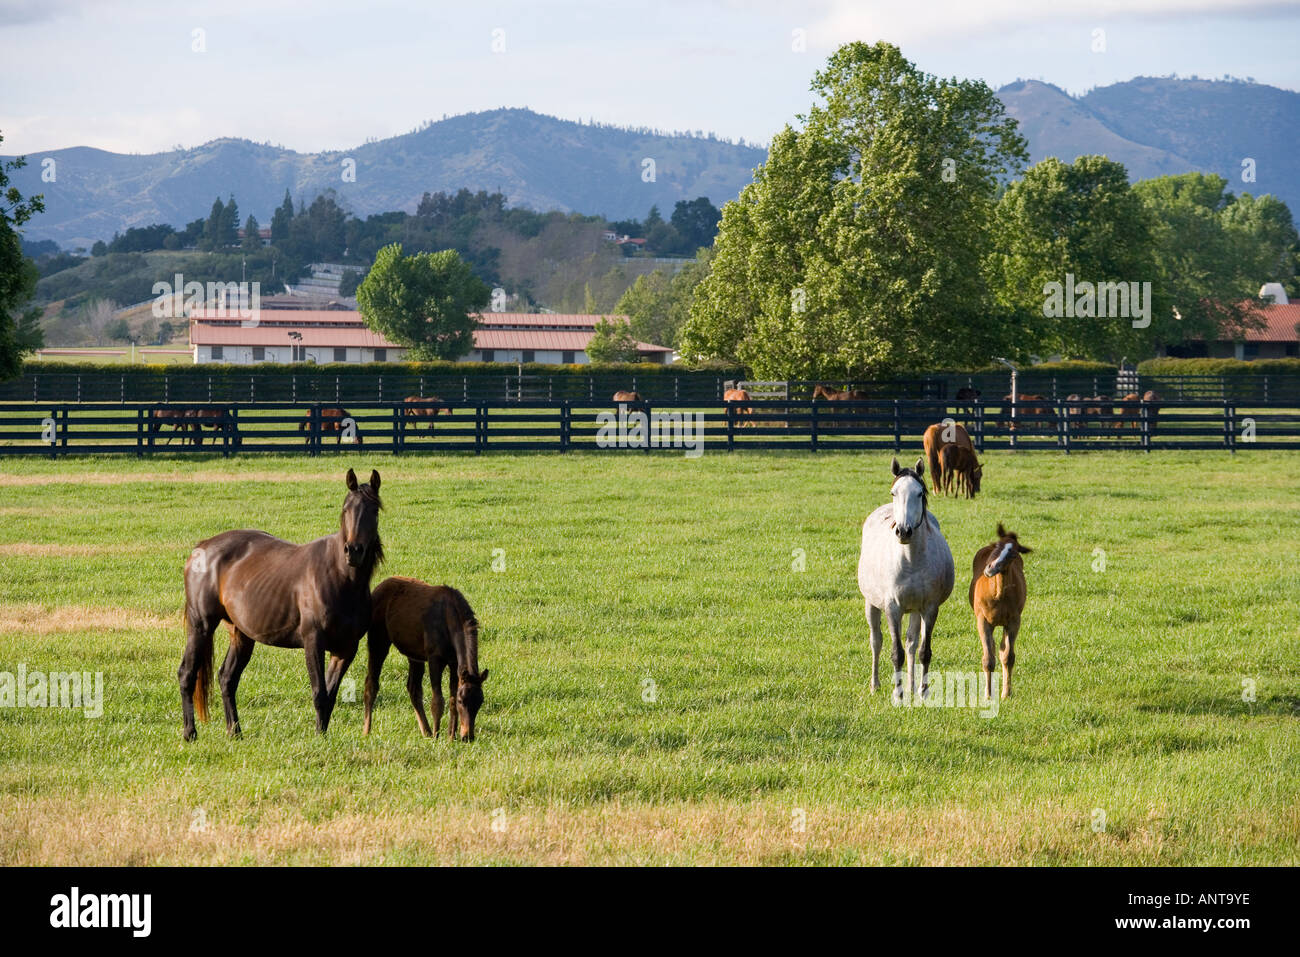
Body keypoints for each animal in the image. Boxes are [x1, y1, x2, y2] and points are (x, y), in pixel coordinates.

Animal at [178, 468, 383, 740]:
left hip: (241, 634)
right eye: (346, 509)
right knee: (187, 674)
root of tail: (201, 548)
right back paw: (190, 733)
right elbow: (319, 693)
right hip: (200, 625)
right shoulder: (313, 641)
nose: (354, 551)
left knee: (226, 678)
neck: (341, 577)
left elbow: (330, 696)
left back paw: (235, 732)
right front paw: (318, 738)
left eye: (374, 510)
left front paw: (323, 735)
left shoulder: (346, 649)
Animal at [364, 577, 488, 740]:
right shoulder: (434, 658)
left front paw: (451, 736)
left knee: (413, 688)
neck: (450, 624)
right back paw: (366, 730)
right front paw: (437, 735)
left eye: (480, 701)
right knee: (371, 683)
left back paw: (426, 731)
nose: (468, 737)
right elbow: (438, 701)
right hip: (378, 641)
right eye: (462, 701)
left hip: (414, 655)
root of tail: (377, 589)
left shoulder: (454, 662)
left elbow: (451, 698)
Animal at [857, 457, 955, 702]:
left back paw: (911, 686)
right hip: (871, 604)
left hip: (915, 610)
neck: (911, 561)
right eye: (894, 493)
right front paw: (898, 694)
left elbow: (923, 651)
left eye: (919, 493)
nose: (903, 531)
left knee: (911, 642)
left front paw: (923, 691)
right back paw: (876, 685)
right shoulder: (893, 608)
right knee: (876, 641)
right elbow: (896, 653)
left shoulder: (929, 608)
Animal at [968, 523, 1031, 700]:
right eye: (997, 546)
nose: (990, 568)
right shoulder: (982, 620)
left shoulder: (1014, 621)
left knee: (1001, 649)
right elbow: (988, 659)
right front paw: (988, 695)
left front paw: (1006, 694)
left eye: (1014, 553)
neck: (997, 594)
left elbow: (1007, 656)